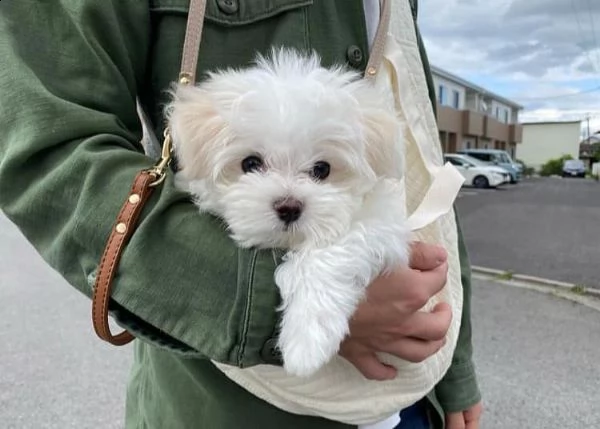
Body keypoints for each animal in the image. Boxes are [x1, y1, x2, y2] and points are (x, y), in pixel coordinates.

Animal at [166, 48, 410, 376]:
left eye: (322, 169)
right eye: (250, 163)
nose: (289, 206)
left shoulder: (383, 224)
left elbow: (334, 247)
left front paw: (307, 341)